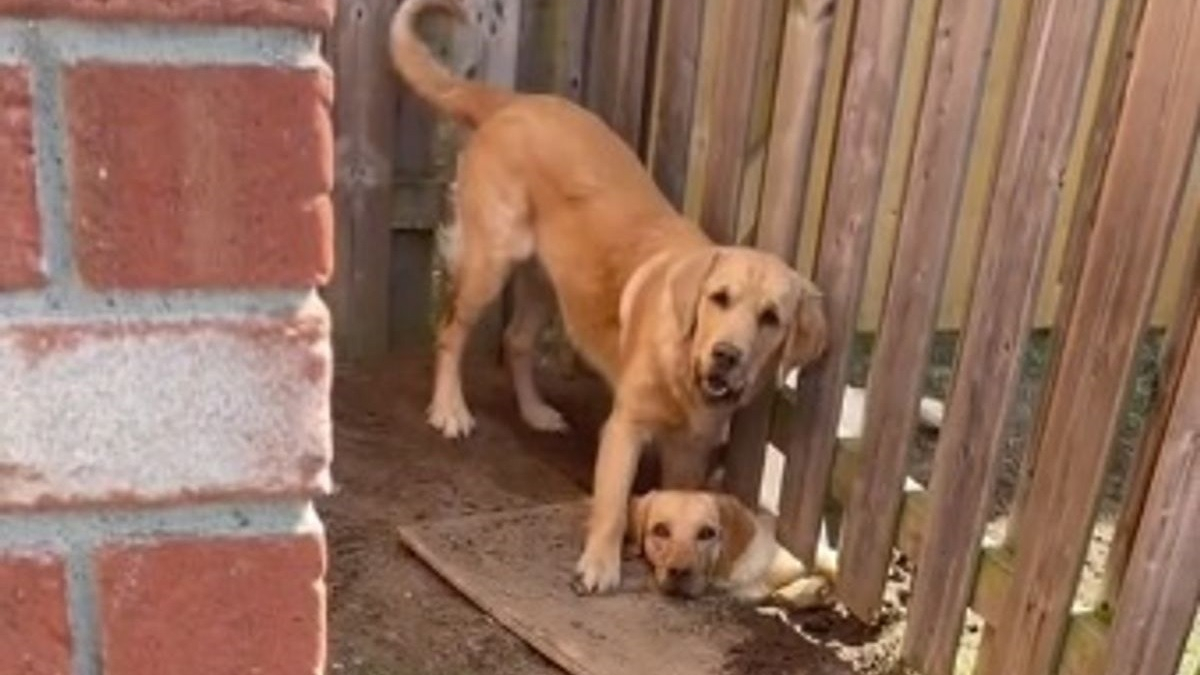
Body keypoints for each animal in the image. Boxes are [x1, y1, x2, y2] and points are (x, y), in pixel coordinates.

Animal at [393, 0, 825, 590]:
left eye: (770, 318)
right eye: (719, 298)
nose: (727, 356)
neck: (684, 364)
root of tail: (514, 101)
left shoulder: (690, 449)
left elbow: (682, 497)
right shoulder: (624, 428)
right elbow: (614, 503)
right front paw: (599, 564)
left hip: (547, 282)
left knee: (518, 339)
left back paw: (535, 412)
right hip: (490, 263)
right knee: (451, 330)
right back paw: (450, 409)